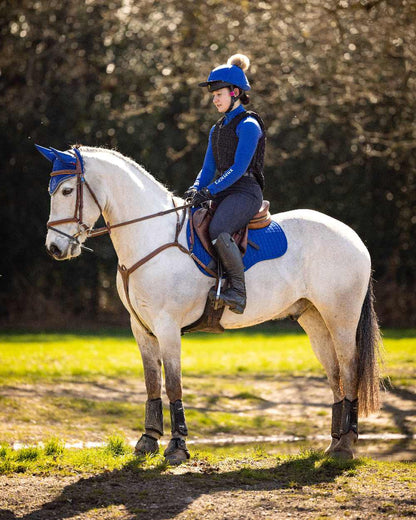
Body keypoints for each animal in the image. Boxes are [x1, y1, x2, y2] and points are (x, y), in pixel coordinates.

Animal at [37, 145, 382, 464]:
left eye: (67, 191)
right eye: (51, 192)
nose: (54, 248)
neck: (151, 236)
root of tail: (352, 235)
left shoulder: (167, 327)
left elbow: (173, 385)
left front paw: (177, 447)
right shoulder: (141, 328)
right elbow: (152, 384)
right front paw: (148, 441)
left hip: (340, 318)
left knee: (349, 369)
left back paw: (346, 446)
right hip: (313, 319)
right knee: (335, 373)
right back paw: (334, 444)